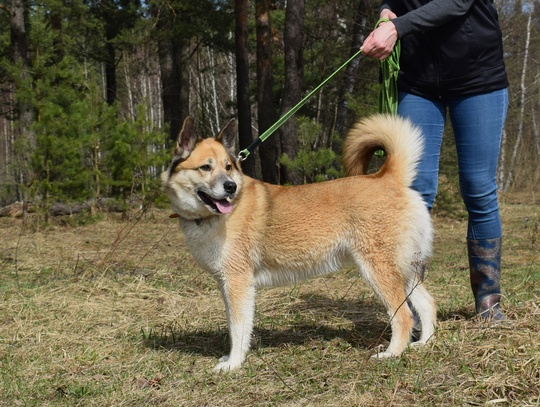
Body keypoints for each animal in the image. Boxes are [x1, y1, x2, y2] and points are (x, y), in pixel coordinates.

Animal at [162, 114, 436, 372]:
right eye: (205, 167)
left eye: (228, 167)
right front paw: (231, 359)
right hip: (403, 272)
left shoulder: (238, 284)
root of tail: (388, 177)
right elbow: (233, 324)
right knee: (427, 304)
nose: (230, 187)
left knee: (404, 316)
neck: (213, 217)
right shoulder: (227, 285)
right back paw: (424, 343)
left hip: (378, 272)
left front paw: (234, 364)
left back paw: (392, 354)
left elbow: (238, 329)